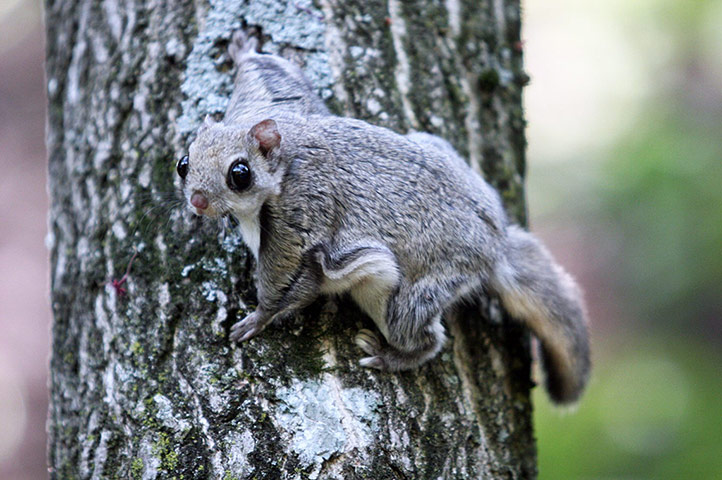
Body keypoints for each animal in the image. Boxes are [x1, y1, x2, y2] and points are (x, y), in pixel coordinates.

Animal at [177, 30, 590, 404]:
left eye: (240, 173)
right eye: (183, 163)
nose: (197, 201)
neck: (284, 159)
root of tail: (497, 241)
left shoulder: (301, 214)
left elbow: (286, 281)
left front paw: (257, 318)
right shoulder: (273, 99)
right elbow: (270, 73)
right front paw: (244, 49)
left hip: (410, 295)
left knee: (424, 337)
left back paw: (388, 355)